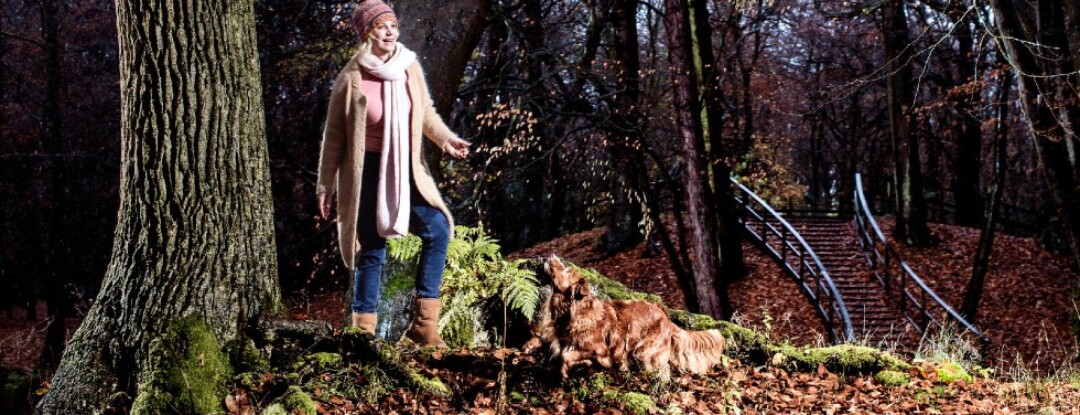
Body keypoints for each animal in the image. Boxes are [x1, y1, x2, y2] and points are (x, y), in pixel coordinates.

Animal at [524, 255, 725, 380]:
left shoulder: (601, 350)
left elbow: (566, 355)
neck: (571, 314)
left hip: (643, 351)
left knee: (662, 372)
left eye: (566, 271)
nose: (551, 256)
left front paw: (574, 367)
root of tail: (667, 318)